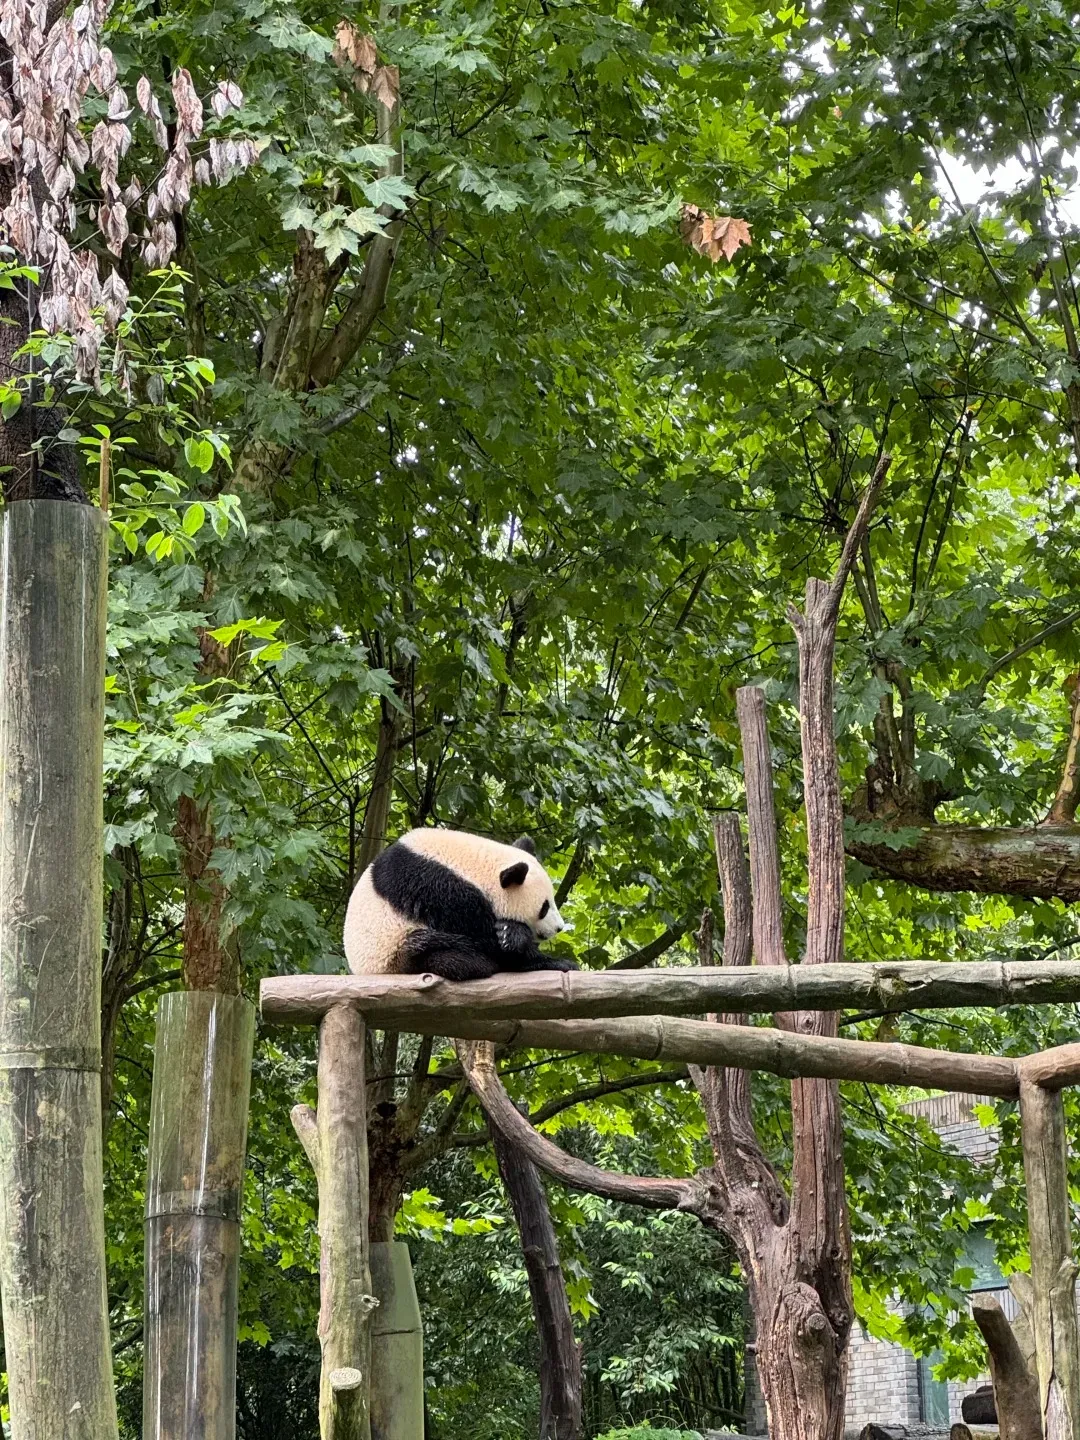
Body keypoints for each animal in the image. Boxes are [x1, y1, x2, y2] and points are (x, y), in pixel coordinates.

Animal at [344, 827, 577, 982]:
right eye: (544, 907)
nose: (558, 928)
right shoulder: (439, 889)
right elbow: (485, 938)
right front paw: (517, 938)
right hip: (395, 949)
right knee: (449, 955)